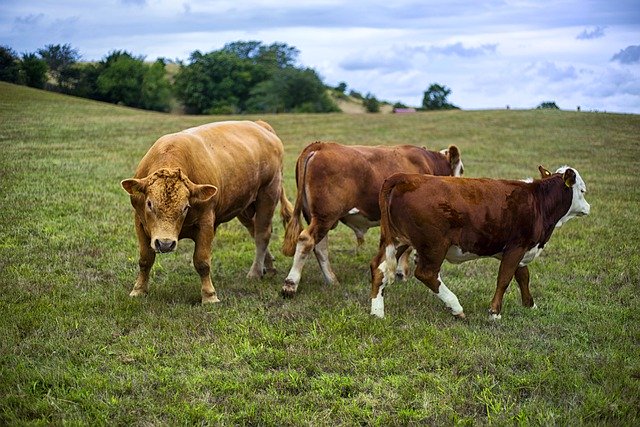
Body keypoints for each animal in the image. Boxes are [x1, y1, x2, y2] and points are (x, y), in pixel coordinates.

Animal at [121, 120, 293, 303]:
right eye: (149, 204)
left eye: (185, 207)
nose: (165, 243)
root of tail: (260, 125)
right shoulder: (140, 221)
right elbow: (145, 259)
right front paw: (138, 290)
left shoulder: (206, 223)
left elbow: (202, 261)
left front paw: (209, 295)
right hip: (245, 206)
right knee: (254, 230)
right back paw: (269, 266)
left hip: (268, 194)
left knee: (262, 234)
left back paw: (255, 272)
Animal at [281, 141, 464, 296]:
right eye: (461, 170)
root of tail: (320, 145)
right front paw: (399, 273)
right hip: (325, 216)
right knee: (307, 240)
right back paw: (290, 284)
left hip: (318, 218)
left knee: (320, 247)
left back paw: (332, 281)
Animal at [370, 166, 590, 319]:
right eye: (583, 191)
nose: (588, 207)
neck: (538, 201)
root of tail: (405, 177)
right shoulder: (516, 246)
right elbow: (505, 278)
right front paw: (495, 312)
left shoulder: (521, 249)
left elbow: (523, 277)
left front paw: (530, 305)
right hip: (434, 245)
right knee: (427, 273)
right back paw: (456, 307)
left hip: (398, 240)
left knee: (379, 267)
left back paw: (377, 311)